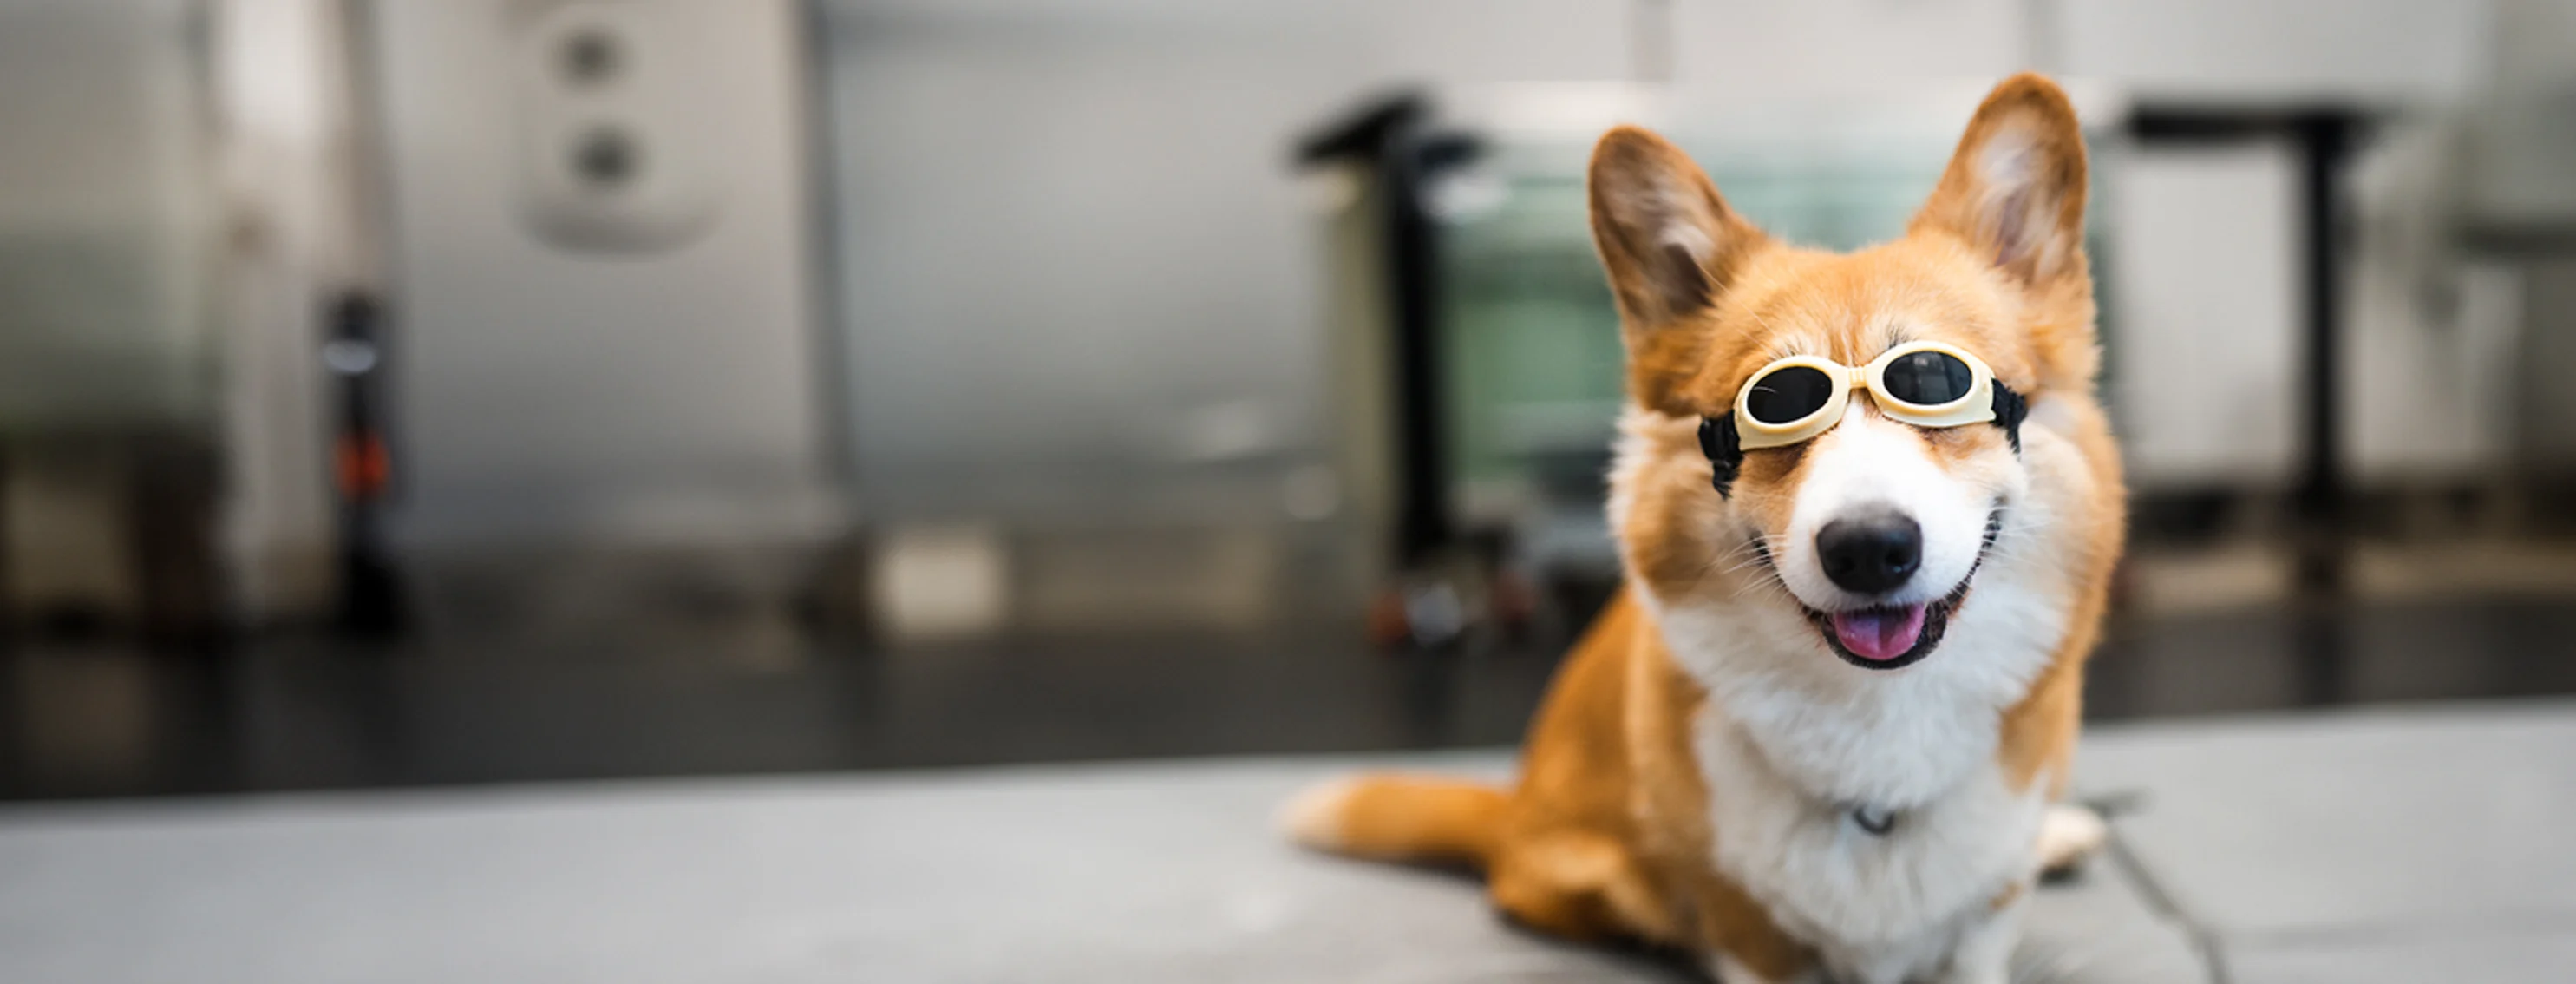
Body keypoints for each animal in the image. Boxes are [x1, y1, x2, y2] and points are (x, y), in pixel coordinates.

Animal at [1278, 73, 2122, 979]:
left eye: (1934, 381)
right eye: (1775, 402)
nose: (1868, 550)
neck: (1878, 731)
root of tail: (1515, 809)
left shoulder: (1985, 916)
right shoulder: (1746, 930)